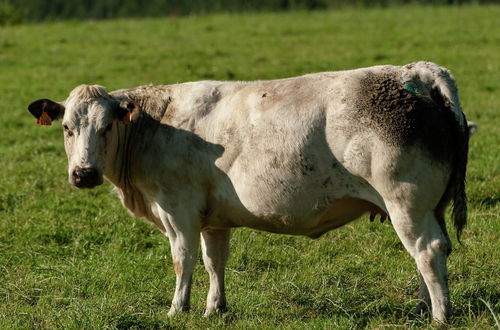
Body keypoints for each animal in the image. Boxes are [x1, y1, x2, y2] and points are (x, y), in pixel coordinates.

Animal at [30, 62, 468, 324]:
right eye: (67, 128)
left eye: (106, 127)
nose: (84, 174)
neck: (155, 126)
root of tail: (417, 73)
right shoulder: (213, 218)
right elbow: (214, 262)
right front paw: (214, 309)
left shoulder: (178, 209)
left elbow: (183, 260)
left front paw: (177, 309)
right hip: (425, 208)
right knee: (431, 254)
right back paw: (423, 307)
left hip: (406, 203)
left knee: (428, 251)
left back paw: (439, 316)